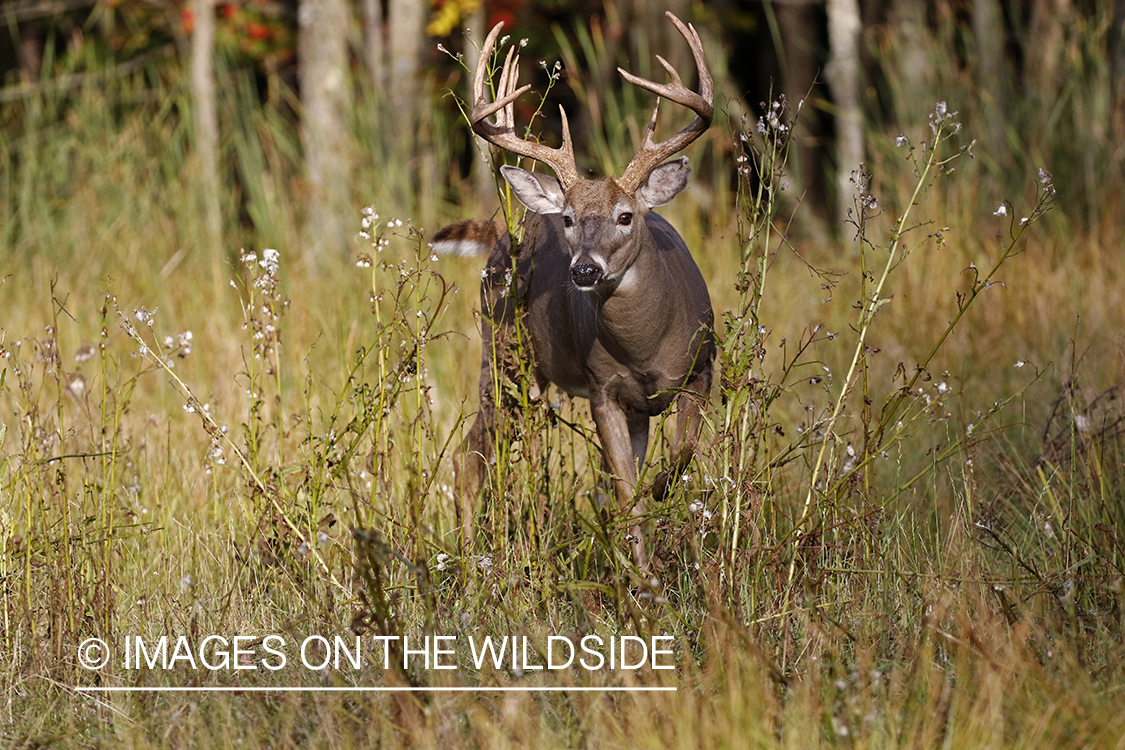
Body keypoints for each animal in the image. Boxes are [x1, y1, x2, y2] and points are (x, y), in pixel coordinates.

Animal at [434, 11, 715, 568]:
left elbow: (678, 458)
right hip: (503, 359)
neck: (647, 346)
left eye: (625, 216)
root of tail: (502, 238)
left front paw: (659, 500)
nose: (584, 270)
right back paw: (471, 559)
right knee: (468, 457)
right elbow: (626, 494)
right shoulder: (604, 389)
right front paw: (644, 575)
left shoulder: (698, 370)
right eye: (567, 219)